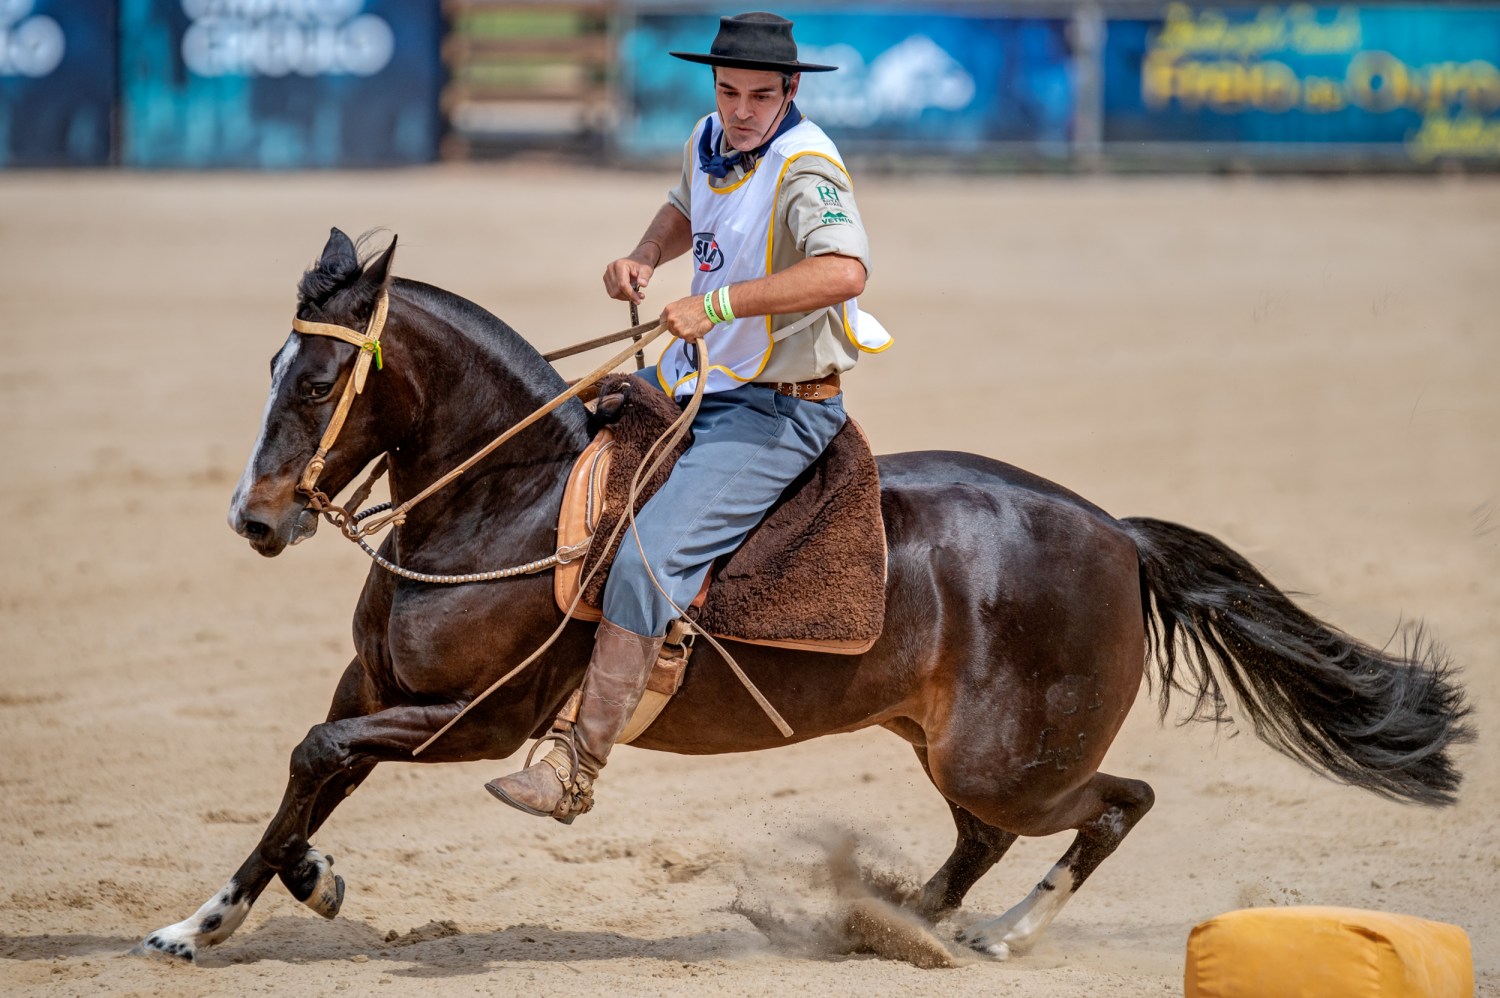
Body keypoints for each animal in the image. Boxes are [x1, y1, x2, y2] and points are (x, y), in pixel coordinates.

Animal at [135, 229, 1470, 960]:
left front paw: (284, 892)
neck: (504, 497)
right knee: (982, 838)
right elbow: (307, 777)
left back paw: (994, 931)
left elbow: (318, 757)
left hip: (1011, 757)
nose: (257, 518)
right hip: (953, 745)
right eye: (272, 366)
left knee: (1110, 804)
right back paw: (900, 919)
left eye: (317, 383)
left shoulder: (483, 723)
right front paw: (212, 917)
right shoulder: (376, 684)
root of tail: (1117, 534)